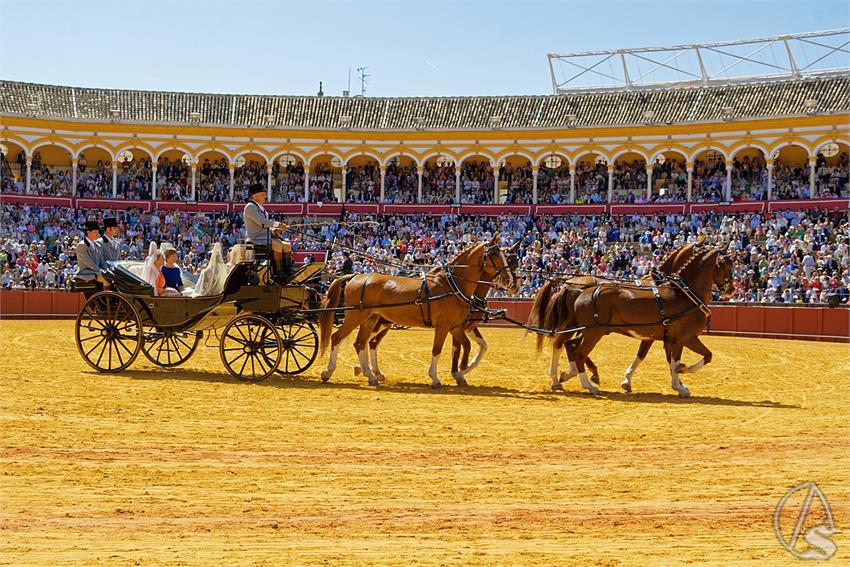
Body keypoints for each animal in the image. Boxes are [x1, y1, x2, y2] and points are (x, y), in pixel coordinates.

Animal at [318, 233, 516, 388]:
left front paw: (460, 373)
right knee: (338, 338)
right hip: (356, 317)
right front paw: (436, 378)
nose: (510, 282)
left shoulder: (455, 326)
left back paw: (370, 375)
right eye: (494, 254)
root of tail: (356, 276)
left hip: (371, 319)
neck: (453, 284)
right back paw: (329, 372)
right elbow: (437, 349)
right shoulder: (443, 326)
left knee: (361, 343)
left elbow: (465, 346)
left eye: (509, 257)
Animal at [560, 248, 732, 400]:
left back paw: (567, 376)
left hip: (588, 332)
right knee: (579, 354)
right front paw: (681, 376)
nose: (731, 290)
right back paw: (588, 385)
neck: (683, 295)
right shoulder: (684, 338)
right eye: (726, 265)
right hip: (593, 333)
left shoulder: (666, 339)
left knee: (571, 346)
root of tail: (582, 291)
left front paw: (678, 383)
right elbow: (701, 357)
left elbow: (662, 359)